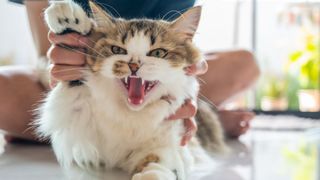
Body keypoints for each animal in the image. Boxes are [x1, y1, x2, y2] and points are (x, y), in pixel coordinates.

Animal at [36, 0, 226, 179]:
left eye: (157, 53)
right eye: (117, 49)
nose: (134, 65)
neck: (131, 115)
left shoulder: (170, 145)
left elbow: (161, 164)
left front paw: (151, 175)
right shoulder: (76, 116)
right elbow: (74, 77)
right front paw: (66, 14)